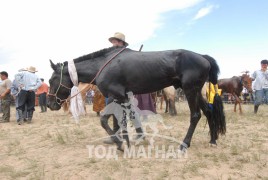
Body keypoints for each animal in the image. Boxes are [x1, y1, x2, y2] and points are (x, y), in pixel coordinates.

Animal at [47, 46, 225, 152]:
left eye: (51, 80)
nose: (49, 104)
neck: (103, 65)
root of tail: (203, 57)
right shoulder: (124, 98)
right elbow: (126, 120)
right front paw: (128, 140)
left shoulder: (116, 96)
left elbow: (105, 120)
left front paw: (121, 144)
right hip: (196, 92)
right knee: (208, 112)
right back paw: (213, 140)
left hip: (190, 90)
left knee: (196, 115)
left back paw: (184, 144)